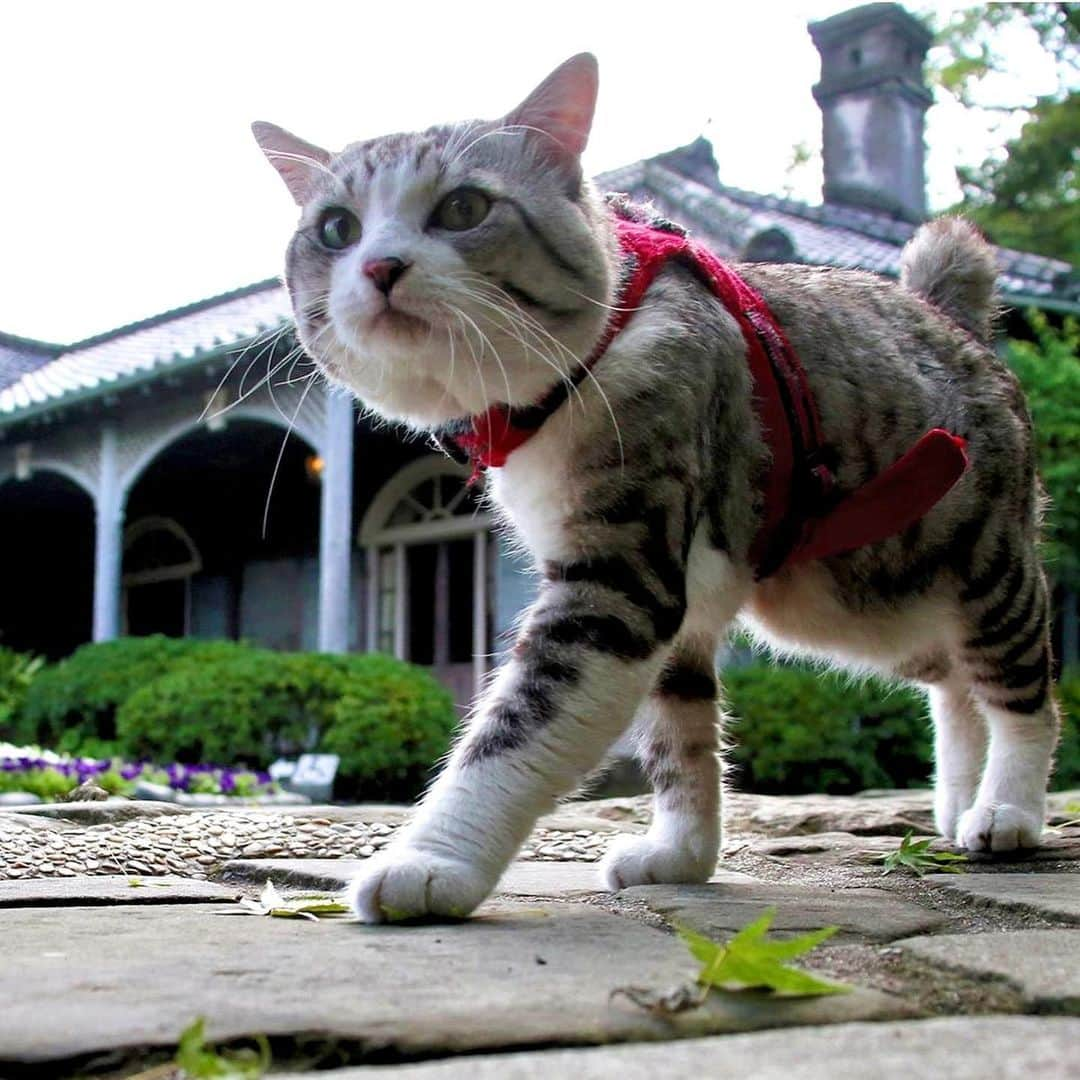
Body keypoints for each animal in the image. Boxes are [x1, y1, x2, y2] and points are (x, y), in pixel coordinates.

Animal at [254, 54, 1062, 924]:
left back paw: (1007, 811)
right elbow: (681, 745)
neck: (576, 374)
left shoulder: (618, 581)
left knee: (1024, 691)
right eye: (337, 228)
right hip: (868, 599)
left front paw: (429, 863)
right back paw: (957, 799)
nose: (379, 266)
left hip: (981, 569)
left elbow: (515, 732)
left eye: (463, 207)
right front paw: (682, 856)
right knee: (954, 685)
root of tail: (952, 319)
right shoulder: (675, 615)